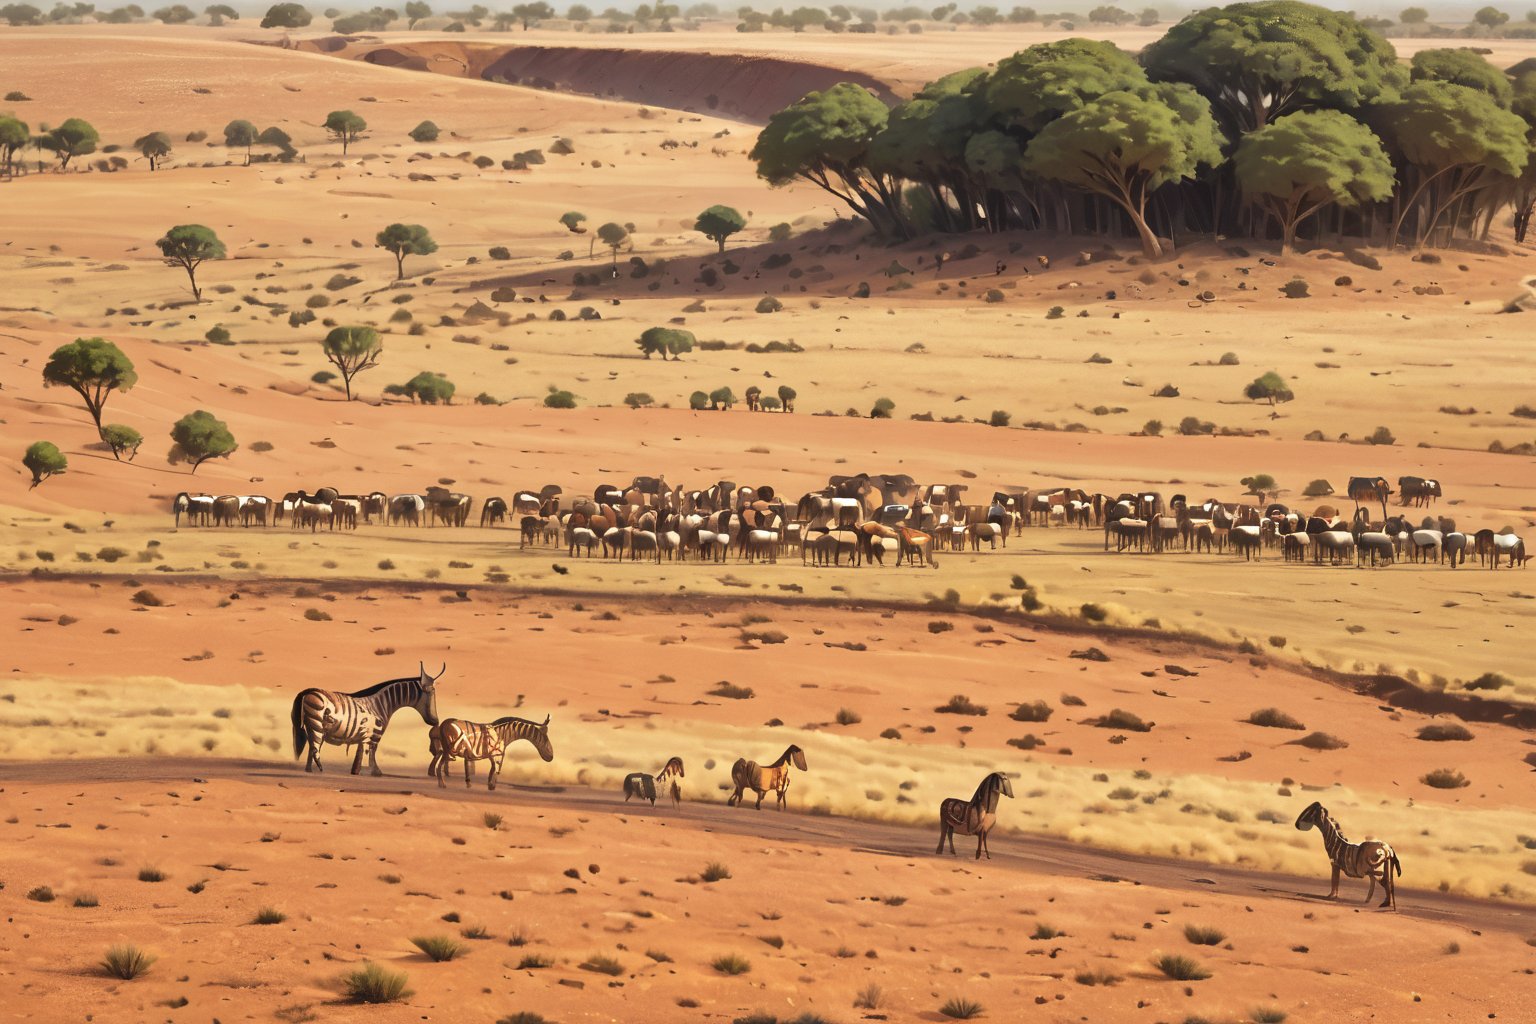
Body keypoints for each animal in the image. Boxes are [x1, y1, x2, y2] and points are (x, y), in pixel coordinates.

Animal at [288, 660, 445, 773]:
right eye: (431, 692)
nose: (435, 721)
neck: (382, 704)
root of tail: (308, 691)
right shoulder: (374, 735)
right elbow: (371, 754)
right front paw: (376, 772)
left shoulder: (364, 737)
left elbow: (360, 757)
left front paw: (356, 772)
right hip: (316, 722)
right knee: (314, 747)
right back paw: (319, 769)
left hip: (310, 725)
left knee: (311, 747)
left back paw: (309, 770)